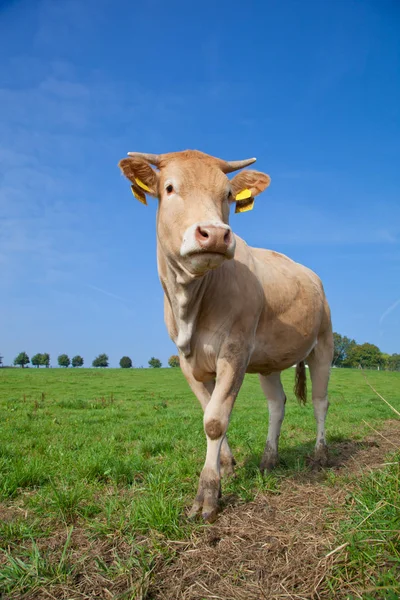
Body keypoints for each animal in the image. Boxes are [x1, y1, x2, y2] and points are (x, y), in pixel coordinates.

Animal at [119, 150, 334, 520]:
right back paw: (269, 459)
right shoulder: (187, 361)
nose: (216, 234)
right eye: (170, 187)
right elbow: (208, 410)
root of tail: (313, 275)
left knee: (321, 401)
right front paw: (228, 466)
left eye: (229, 194)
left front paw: (207, 493)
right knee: (277, 404)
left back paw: (320, 455)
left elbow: (216, 420)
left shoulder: (235, 350)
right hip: (269, 362)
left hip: (323, 344)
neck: (191, 304)